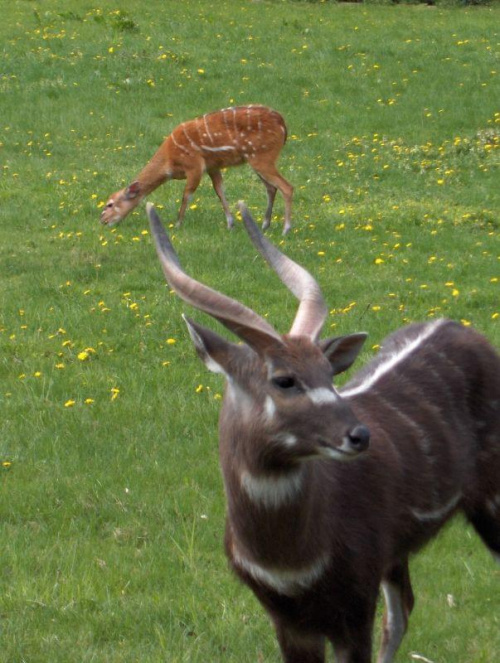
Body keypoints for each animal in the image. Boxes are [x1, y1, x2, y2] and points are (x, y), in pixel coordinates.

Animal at [101, 105, 292, 235]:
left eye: (110, 204)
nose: (102, 220)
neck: (170, 162)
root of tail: (283, 125)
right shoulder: (212, 166)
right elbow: (219, 190)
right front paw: (230, 224)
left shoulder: (194, 165)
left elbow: (187, 194)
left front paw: (177, 224)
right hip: (257, 159)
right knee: (271, 187)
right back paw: (265, 224)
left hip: (263, 156)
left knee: (287, 186)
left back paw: (286, 229)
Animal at [146, 204, 498, 663]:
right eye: (284, 380)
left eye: (329, 373)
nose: (360, 435)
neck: (291, 563)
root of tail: (459, 327)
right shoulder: (289, 620)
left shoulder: (355, 604)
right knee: (402, 610)